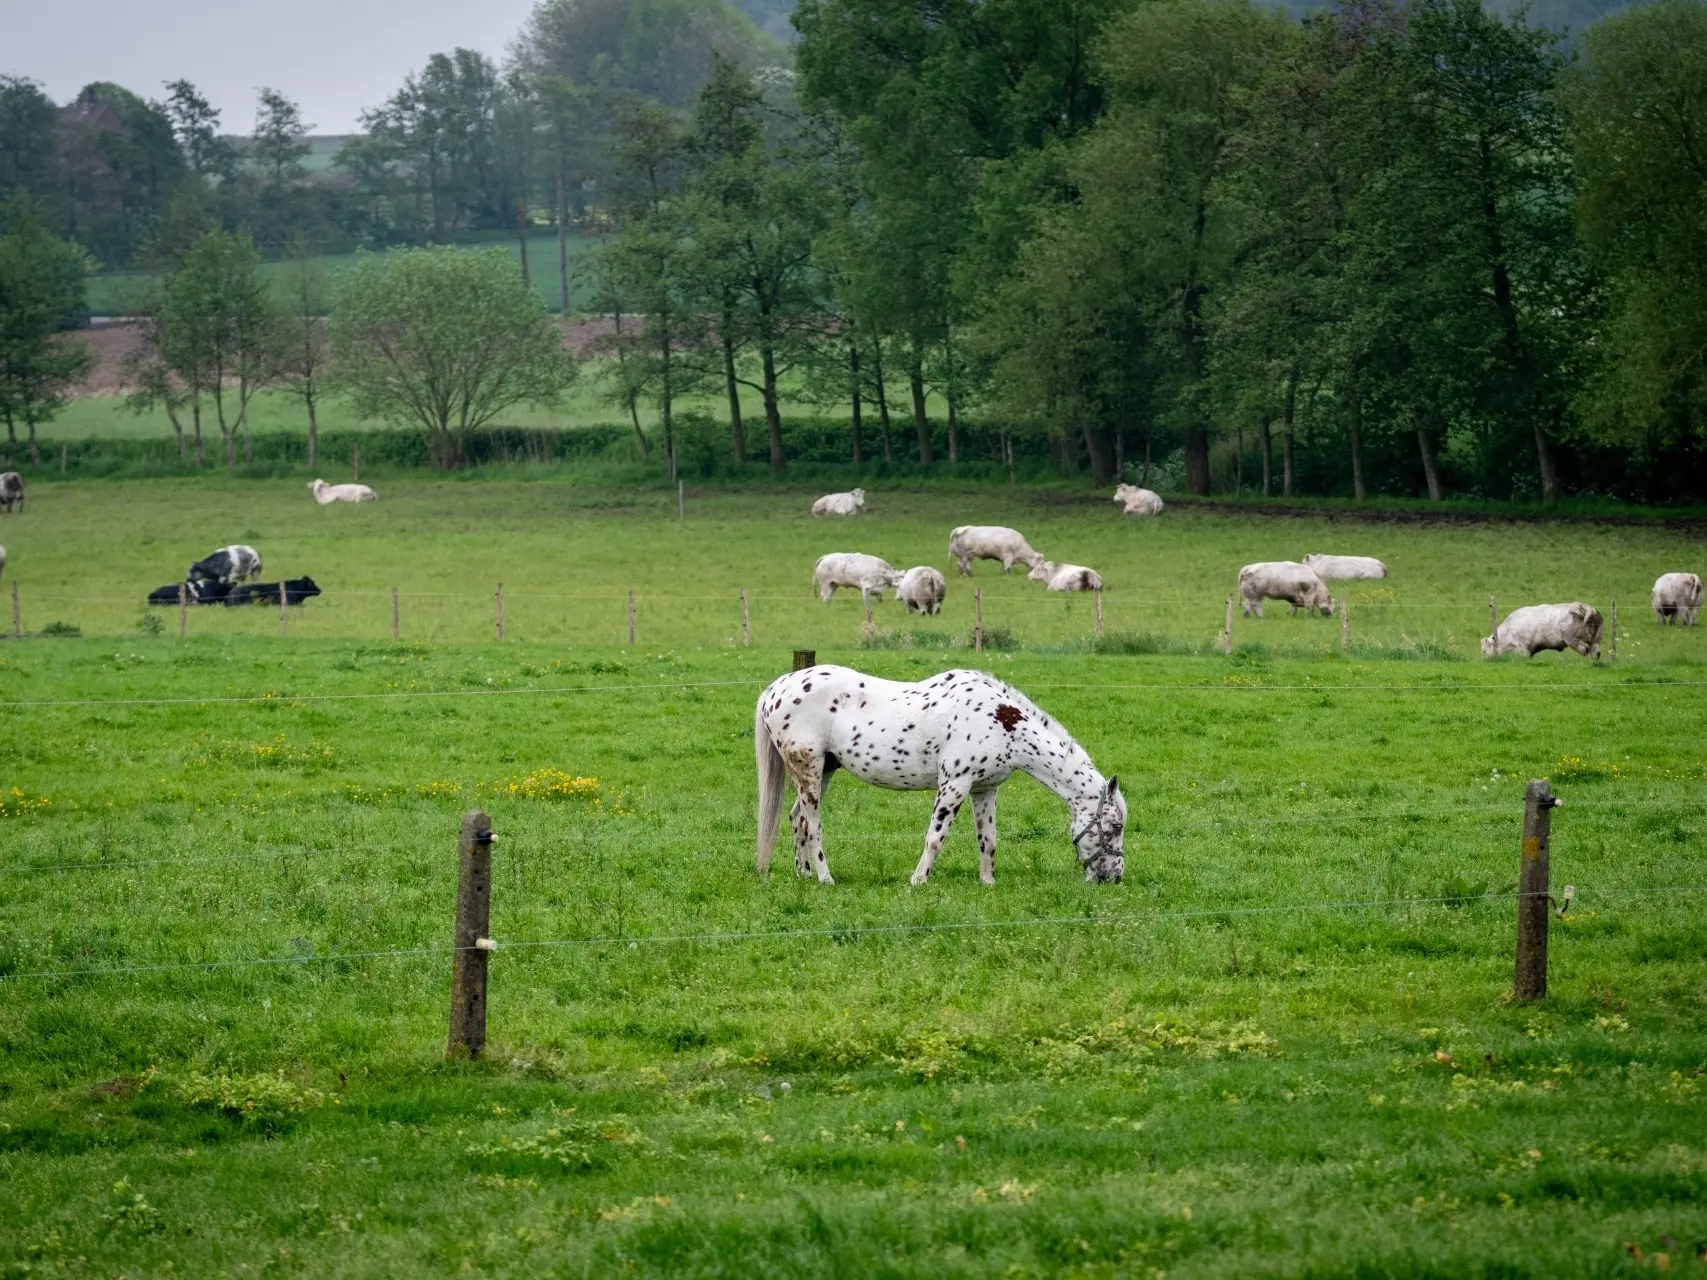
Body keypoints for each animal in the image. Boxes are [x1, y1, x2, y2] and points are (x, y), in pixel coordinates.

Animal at [754, 665, 1126, 887]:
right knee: (813, 825)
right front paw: (919, 881)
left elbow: (988, 840)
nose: (1115, 877)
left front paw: (987, 882)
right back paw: (825, 878)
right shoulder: (954, 786)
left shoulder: (984, 790)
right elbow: (935, 837)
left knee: (797, 819)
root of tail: (776, 688)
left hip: (823, 771)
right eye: (1113, 827)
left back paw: (803, 874)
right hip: (809, 770)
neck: (999, 720)